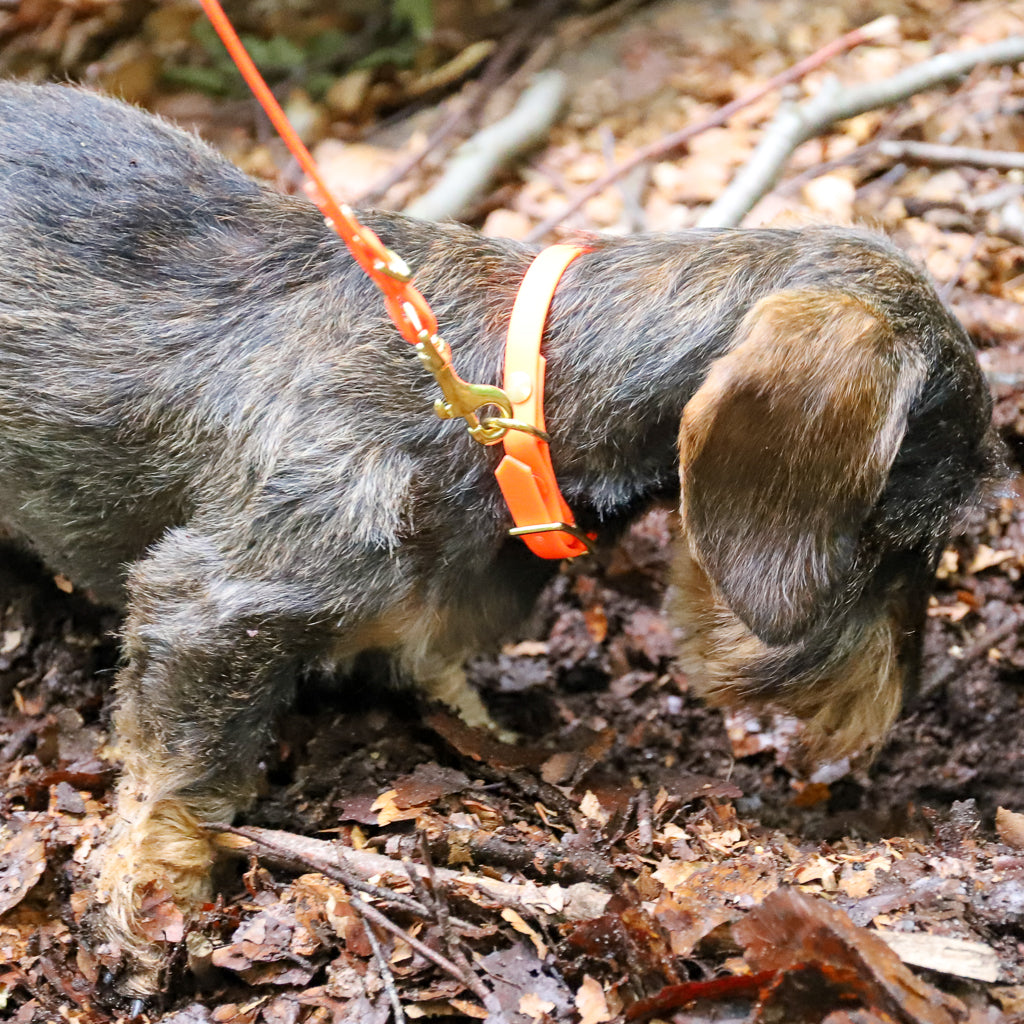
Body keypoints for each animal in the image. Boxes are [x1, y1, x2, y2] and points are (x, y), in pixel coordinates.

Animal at [0, 81, 999, 991]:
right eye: (898, 541)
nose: (896, 714)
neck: (501, 398)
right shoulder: (215, 607)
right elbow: (182, 774)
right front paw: (150, 907)